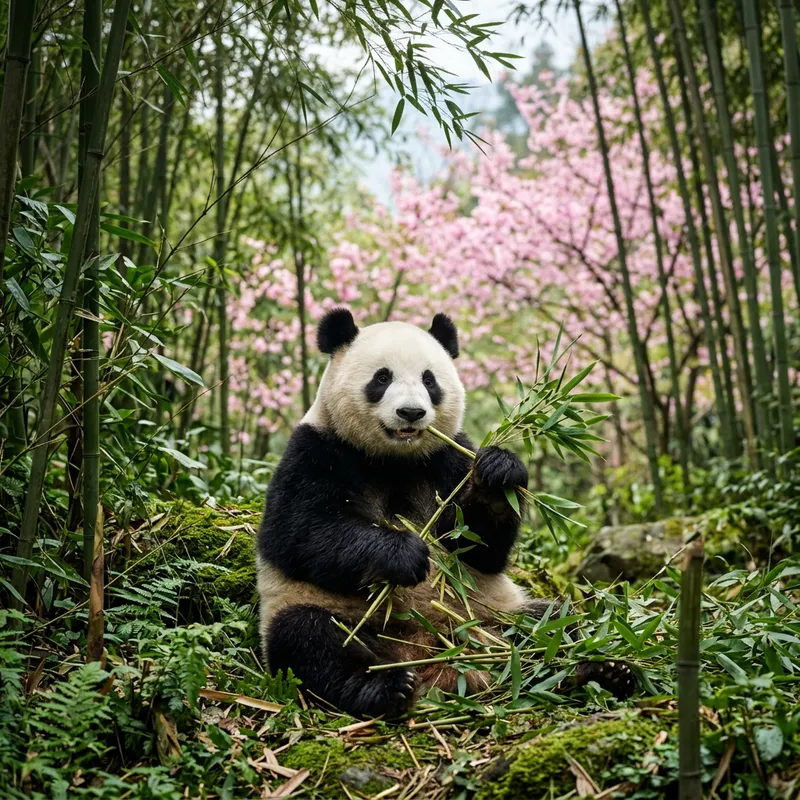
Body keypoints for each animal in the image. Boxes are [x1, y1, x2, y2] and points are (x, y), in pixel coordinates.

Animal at [256, 309, 634, 718]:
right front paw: (402, 554)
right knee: (312, 640)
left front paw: (499, 473)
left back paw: (599, 670)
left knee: (553, 624)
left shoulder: (447, 457)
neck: (394, 460)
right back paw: (385, 688)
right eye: (382, 378)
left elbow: (479, 547)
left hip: (493, 615)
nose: (411, 412)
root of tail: (435, 658)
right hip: (321, 611)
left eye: (429, 379)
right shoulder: (317, 450)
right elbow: (301, 534)